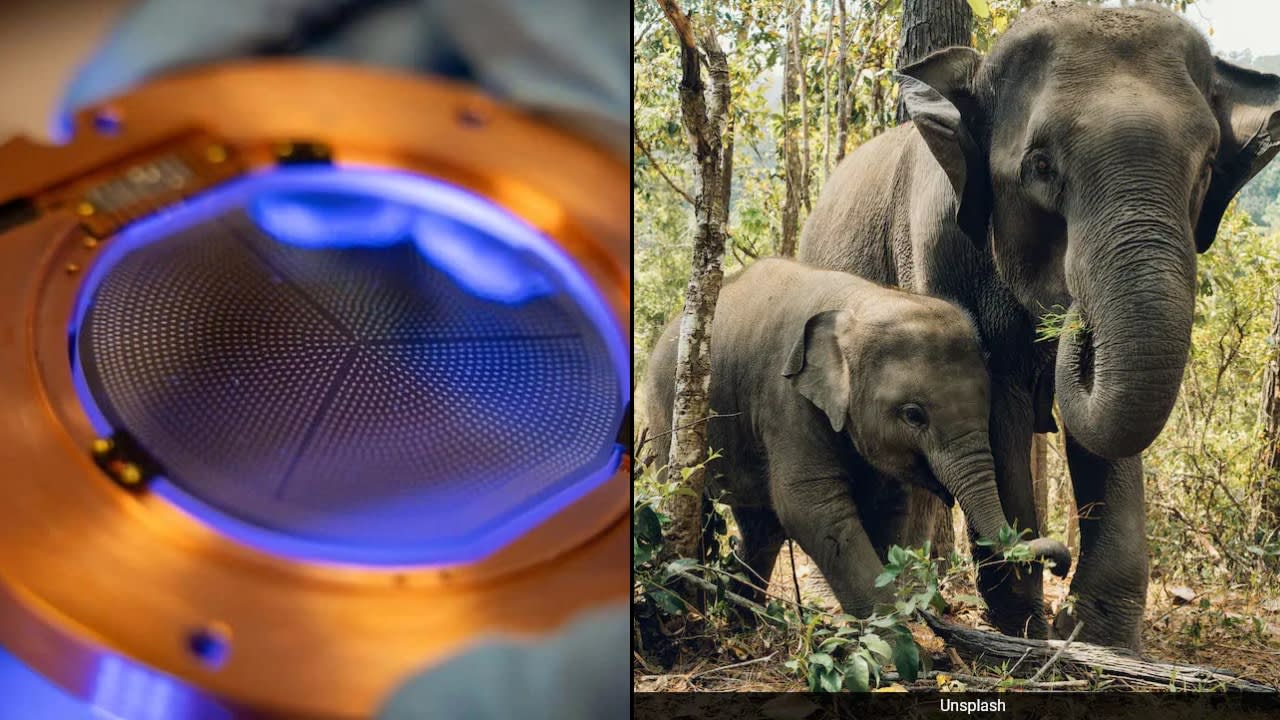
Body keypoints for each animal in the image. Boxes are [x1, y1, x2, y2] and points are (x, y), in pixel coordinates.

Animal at [642, 258, 1070, 619]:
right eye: (913, 415)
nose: (1060, 566)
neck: (859, 303)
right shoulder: (786, 401)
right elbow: (811, 507)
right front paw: (900, 647)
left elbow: (886, 507)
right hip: (668, 415)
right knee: (693, 505)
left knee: (761, 527)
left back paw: (746, 621)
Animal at [799, 2, 1280, 650]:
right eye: (1041, 166)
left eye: (1206, 167)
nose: (1073, 311)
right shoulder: (941, 251)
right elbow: (995, 402)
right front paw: (1026, 626)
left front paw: (1097, 638)